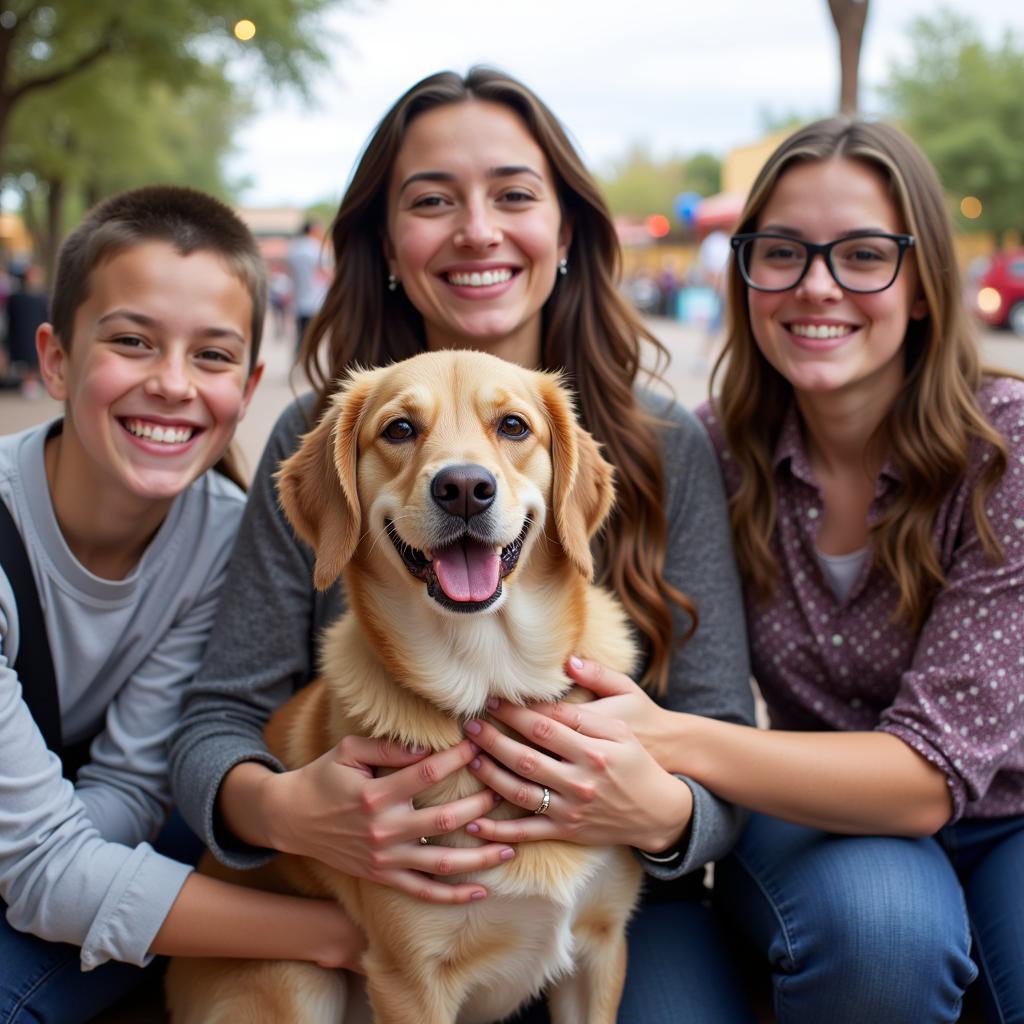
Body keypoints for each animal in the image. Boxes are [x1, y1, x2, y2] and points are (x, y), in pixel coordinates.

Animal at [172, 352, 643, 1024]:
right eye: (399, 429)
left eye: (513, 426)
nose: (465, 487)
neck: (487, 679)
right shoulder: (409, 983)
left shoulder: (601, 949)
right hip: (296, 982)